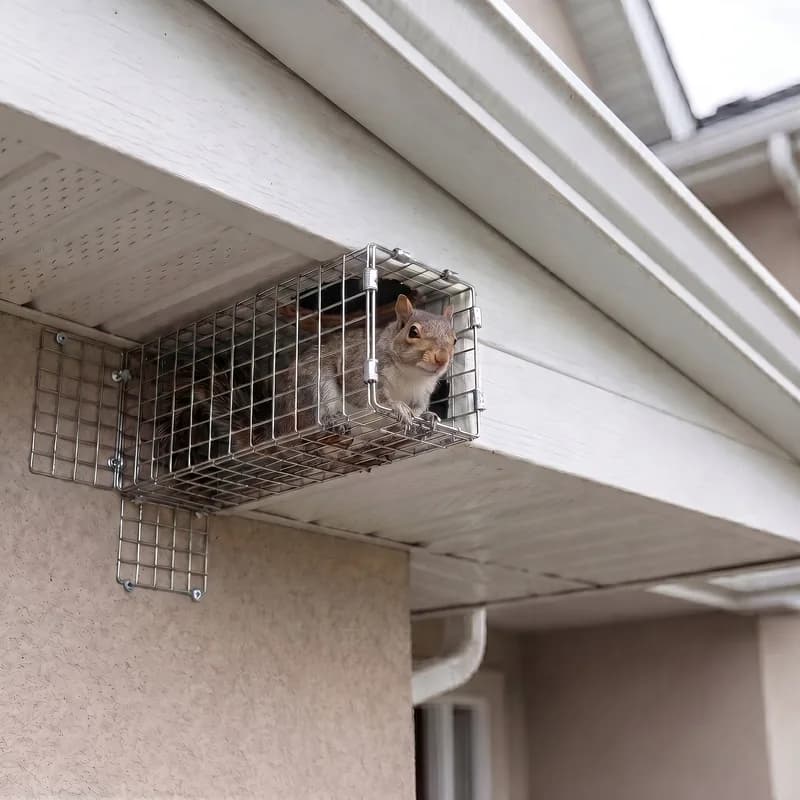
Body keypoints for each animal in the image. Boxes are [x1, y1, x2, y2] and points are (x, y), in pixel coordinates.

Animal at [275, 294, 456, 436]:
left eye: (455, 339)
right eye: (413, 332)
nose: (442, 358)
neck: (411, 374)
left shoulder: (422, 394)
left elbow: (417, 410)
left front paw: (427, 416)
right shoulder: (358, 366)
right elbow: (363, 394)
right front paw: (397, 406)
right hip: (313, 380)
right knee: (320, 404)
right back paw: (334, 419)